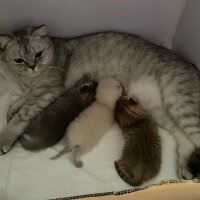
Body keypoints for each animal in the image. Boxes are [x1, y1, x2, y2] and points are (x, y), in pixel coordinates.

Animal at [0, 25, 68, 153]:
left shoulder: (50, 90)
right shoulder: (33, 91)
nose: (32, 67)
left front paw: (5, 138)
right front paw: (11, 112)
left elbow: (21, 115)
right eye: (19, 60)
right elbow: (19, 101)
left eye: (38, 54)